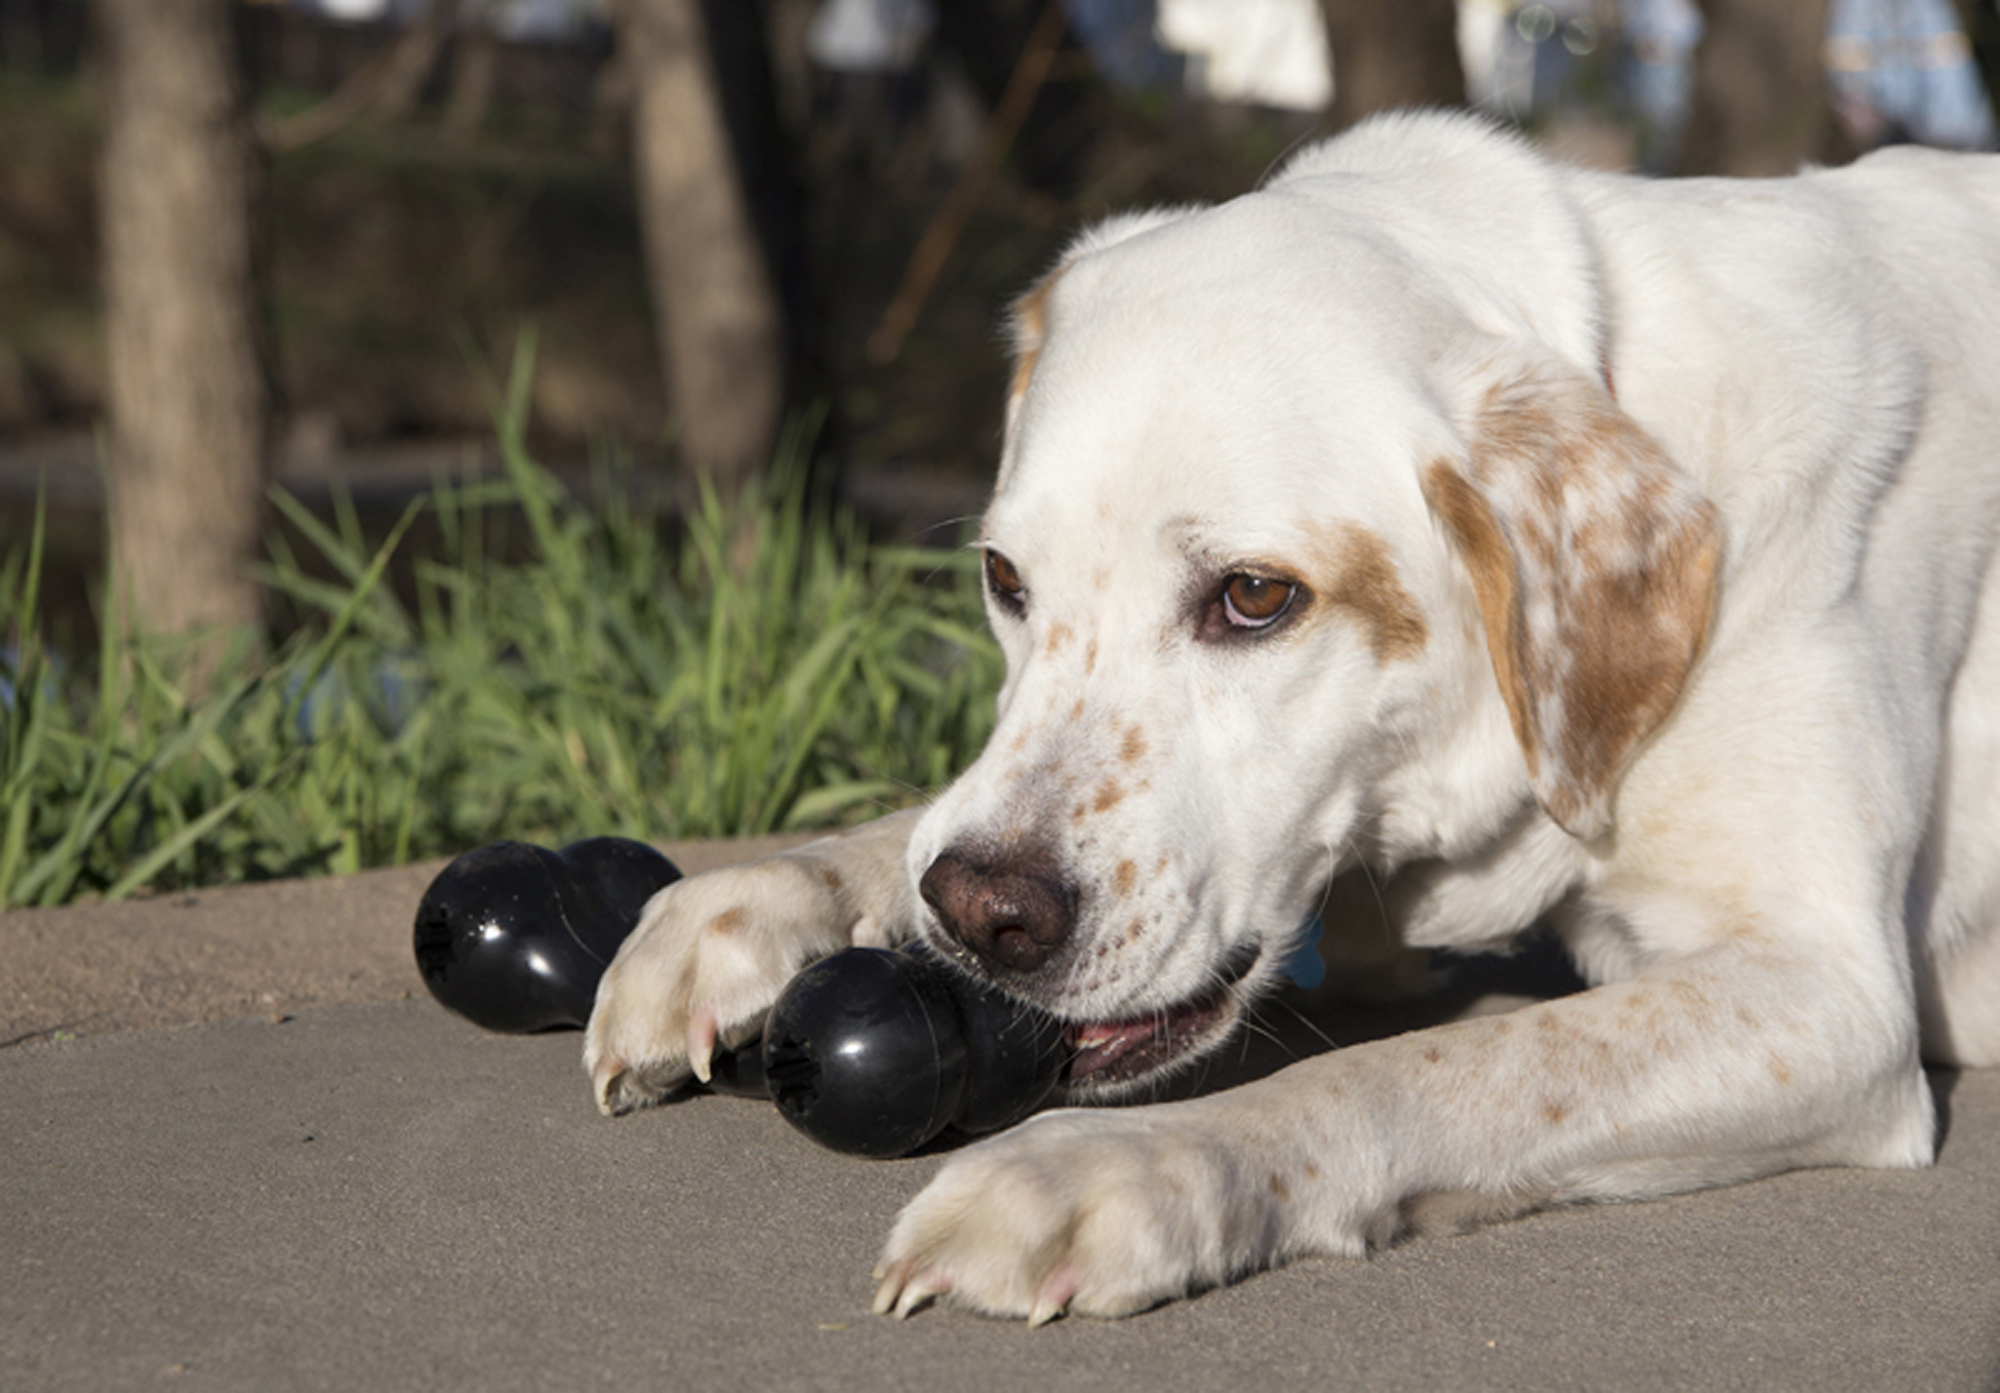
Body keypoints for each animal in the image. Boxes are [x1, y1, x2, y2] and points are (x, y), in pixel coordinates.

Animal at [584, 114, 2000, 1320]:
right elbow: (912, 823)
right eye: (1002, 579)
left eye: (1255, 596)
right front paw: (754, 899)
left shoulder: (1825, 993)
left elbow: (1433, 1064)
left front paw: (1119, 1167)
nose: (985, 918)